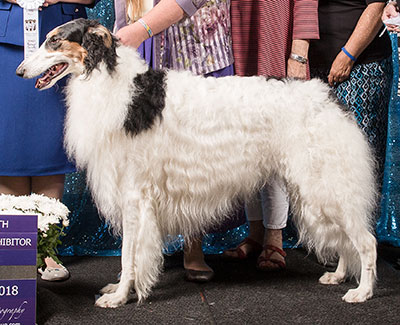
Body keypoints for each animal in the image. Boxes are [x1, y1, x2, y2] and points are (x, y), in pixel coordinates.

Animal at [16, 18, 378, 306]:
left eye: (54, 40)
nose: (19, 71)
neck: (117, 85)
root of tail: (327, 95)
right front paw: (120, 289)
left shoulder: (134, 195)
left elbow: (128, 256)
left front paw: (119, 296)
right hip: (321, 189)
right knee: (346, 242)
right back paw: (339, 276)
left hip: (325, 185)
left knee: (366, 242)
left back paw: (363, 291)